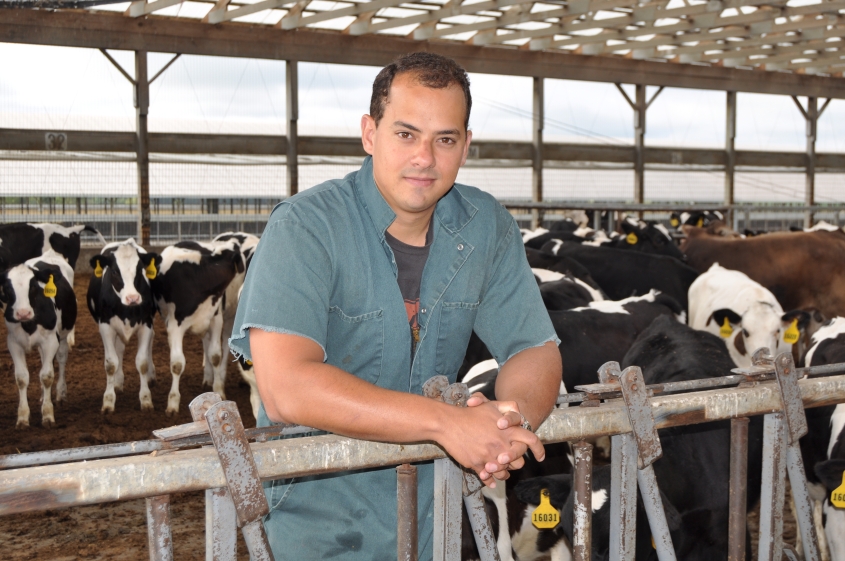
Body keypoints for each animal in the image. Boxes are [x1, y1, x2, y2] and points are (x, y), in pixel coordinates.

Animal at [0, 248, 76, 424]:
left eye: (33, 286)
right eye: (7, 288)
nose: (23, 313)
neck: (29, 323)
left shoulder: (50, 341)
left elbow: (47, 376)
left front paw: (47, 414)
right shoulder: (13, 343)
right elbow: (21, 378)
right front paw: (22, 417)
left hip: (62, 335)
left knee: (61, 359)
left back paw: (60, 393)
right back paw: (43, 395)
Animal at [87, 238, 162, 414]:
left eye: (140, 270)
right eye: (114, 271)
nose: (132, 298)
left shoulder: (146, 324)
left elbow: (142, 362)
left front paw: (146, 399)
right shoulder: (105, 326)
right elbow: (111, 364)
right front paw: (108, 400)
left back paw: (150, 376)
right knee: (118, 350)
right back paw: (118, 382)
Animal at [151, 238, 244, 414]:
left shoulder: (215, 319)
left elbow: (215, 356)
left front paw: (218, 389)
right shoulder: (175, 325)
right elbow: (177, 364)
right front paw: (173, 402)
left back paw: (208, 378)